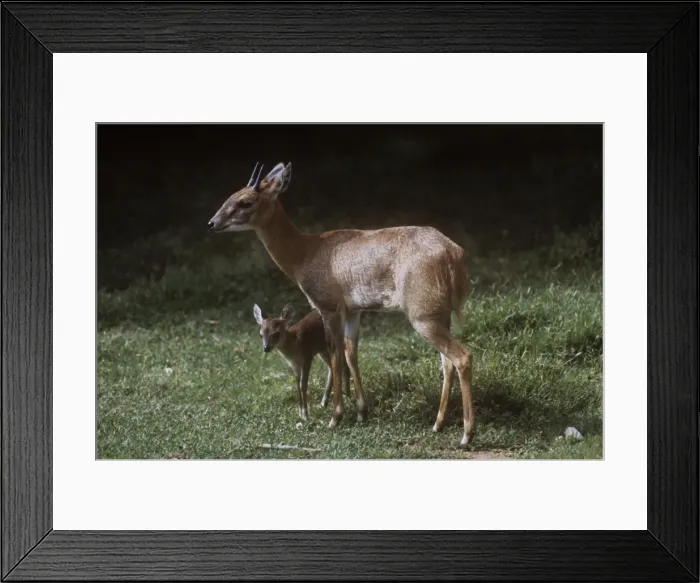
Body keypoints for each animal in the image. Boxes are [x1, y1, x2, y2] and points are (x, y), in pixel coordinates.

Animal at [208, 162, 475, 447]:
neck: (305, 252)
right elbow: (351, 353)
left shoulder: (328, 308)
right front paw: (361, 412)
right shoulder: (353, 311)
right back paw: (437, 424)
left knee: (462, 356)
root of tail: (454, 253)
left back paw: (466, 435)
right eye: (232, 194)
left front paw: (335, 417)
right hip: (439, 315)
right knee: (446, 362)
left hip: (423, 317)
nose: (212, 223)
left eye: (246, 201)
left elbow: (335, 355)